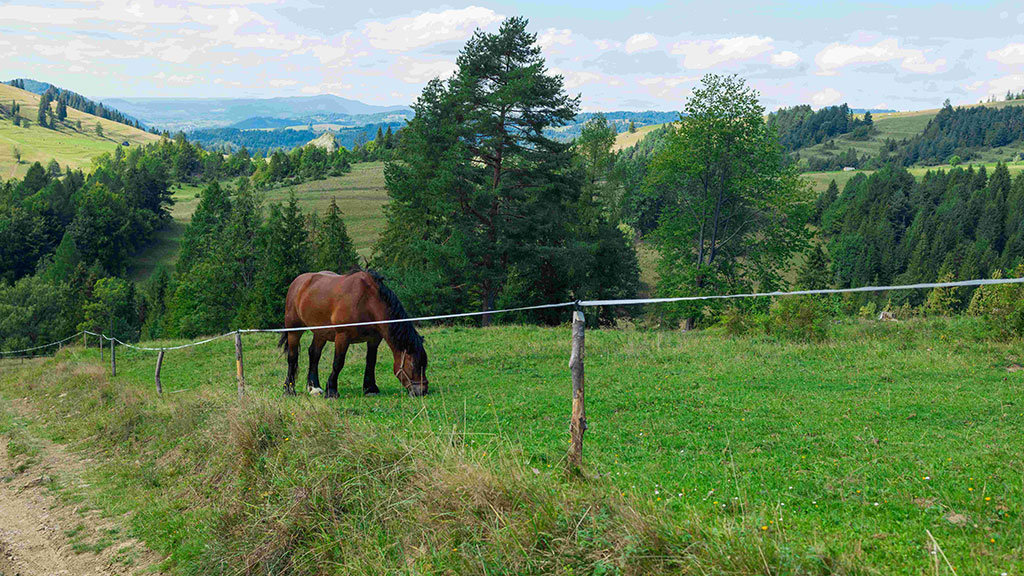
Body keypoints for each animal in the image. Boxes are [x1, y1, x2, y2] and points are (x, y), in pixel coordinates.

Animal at [278, 270, 428, 398]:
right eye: (413, 365)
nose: (422, 391)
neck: (367, 302)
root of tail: (298, 282)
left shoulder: (374, 339)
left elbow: (371, 361)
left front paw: (370, 388)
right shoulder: (342, 336)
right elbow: (338, 362)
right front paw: (332, 390)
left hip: (321, 332)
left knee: (314, 354)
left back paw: (314, 387)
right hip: (294, 330)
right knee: (292, 357)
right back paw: (289, 389)